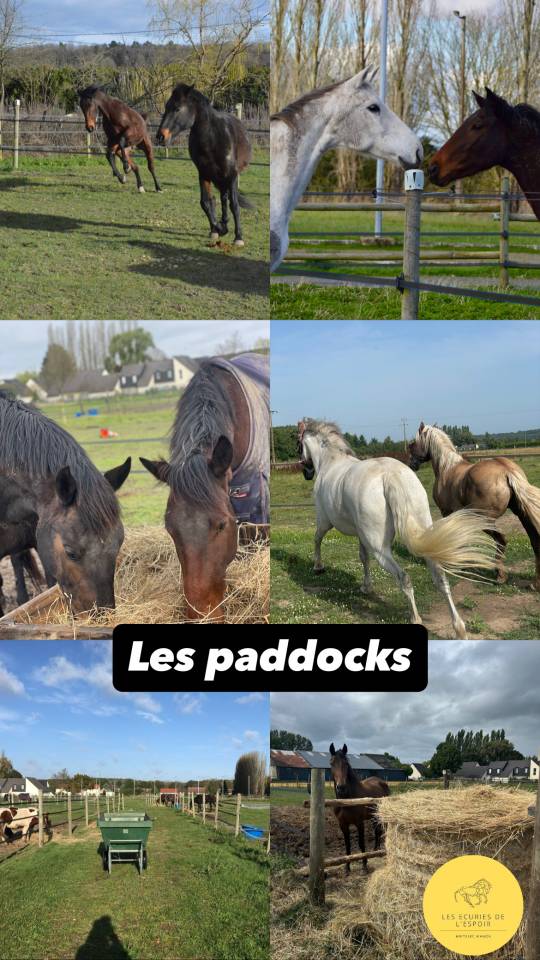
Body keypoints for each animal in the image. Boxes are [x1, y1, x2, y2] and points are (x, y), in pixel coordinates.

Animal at [156, 84, 253, 246]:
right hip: (219, 178)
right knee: (222, 198)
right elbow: (206, 202)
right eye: (167, 106)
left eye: (177, 108)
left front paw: (238, 237)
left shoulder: (232, 175)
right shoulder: (204, 173)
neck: (213, 139)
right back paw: (223, 223)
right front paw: (218, 229)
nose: (160, 136)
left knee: (226, 199)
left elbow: (234, 205)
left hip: (225, 177)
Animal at [298, 419, 499, 638]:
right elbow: (363, 558)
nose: (306, 473)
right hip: (425, 537)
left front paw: (318, 567)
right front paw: (366, 587)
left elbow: (317, 539)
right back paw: (459, 628)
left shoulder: (324, 521)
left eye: (299, 445)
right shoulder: (361, 535)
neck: (330, 462)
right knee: (440, 577)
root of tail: (390, 475)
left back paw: (416, 618)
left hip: (380, 549)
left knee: (404, 578)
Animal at [329, 743, 389, 874]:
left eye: (346, 763)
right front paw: (347, 868)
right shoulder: (343, 825)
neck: (346, 801)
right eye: (331, 763)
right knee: (376, 831)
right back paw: (375, 849)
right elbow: (347, 845)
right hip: (373, 816)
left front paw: (364, 866)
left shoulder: (359, 823)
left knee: (381, 830)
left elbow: (361, 843)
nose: (341, 788)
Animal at [408, 423, 540, 590]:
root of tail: (506, 471)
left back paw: (500, 576)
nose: (411, 464)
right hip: (522, 515)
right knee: (534, 542)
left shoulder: (447, 513)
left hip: (483, 519)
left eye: (413, 443)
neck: (447, 468)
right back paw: (534, 584)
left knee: (501, 540)